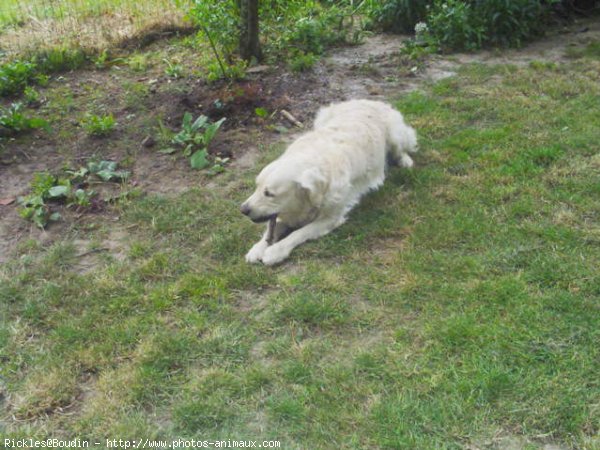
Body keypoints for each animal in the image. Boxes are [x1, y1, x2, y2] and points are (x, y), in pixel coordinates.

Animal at [239, 99, 418, 264]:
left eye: (269, 193)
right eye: (257, 187)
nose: (243, 210)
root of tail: (368, 100)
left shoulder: (331, 218)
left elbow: (299, 232)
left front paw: (276, 251)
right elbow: (272, 228)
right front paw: (258, 248)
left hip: (395, 133)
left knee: (401, 149)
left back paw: (405, 161)